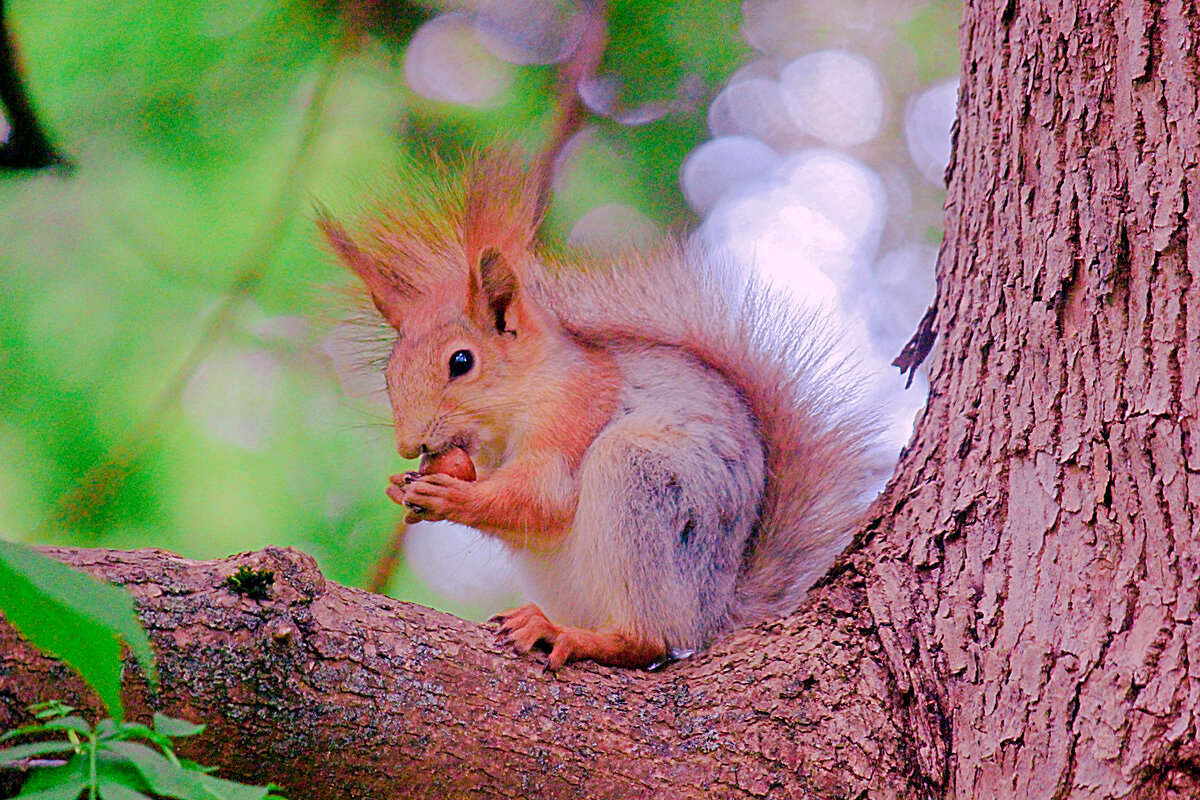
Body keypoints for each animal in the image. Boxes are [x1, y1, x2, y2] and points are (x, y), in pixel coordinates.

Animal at [316, 149, 883, 671]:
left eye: (461, 361)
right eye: (389, 373)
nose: (409, 445)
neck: (525, 395)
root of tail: (711, 614)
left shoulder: (574, 410)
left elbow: (543, 499)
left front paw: (450, 496)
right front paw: (401, 486)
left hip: (640, 484)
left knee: (648, 641)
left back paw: (571, 634)